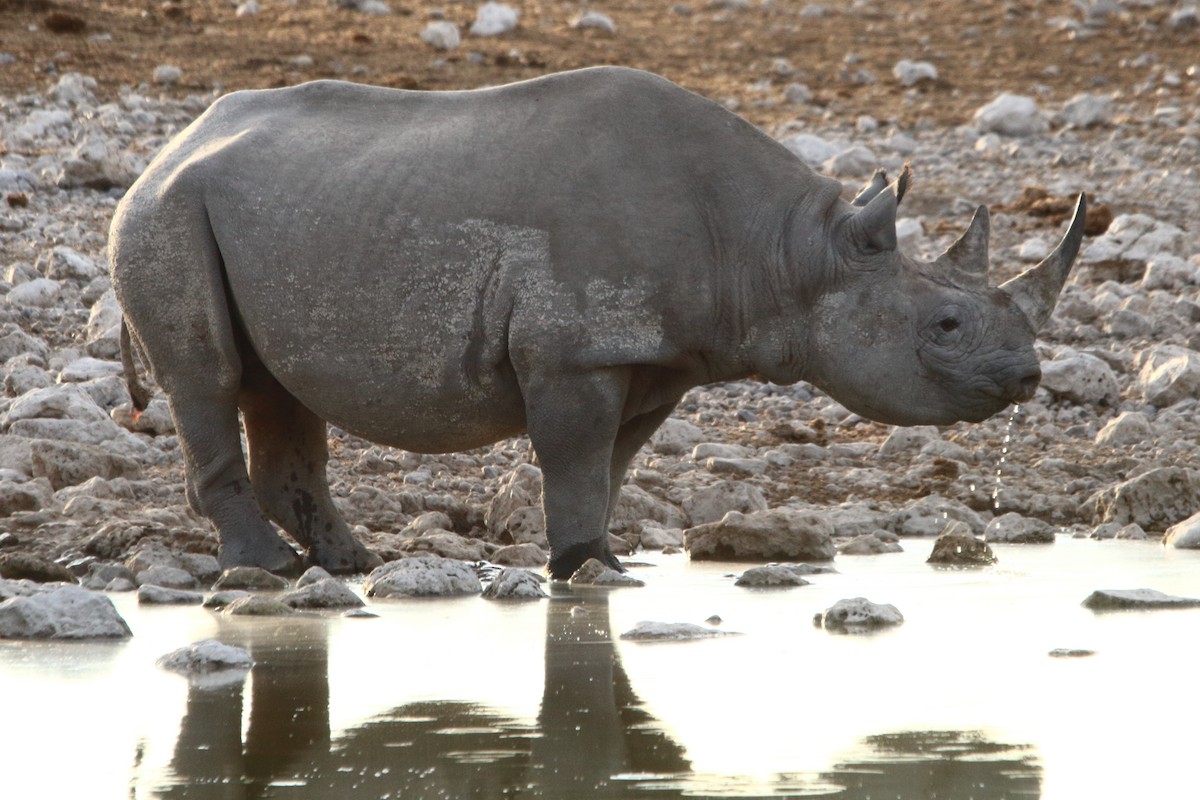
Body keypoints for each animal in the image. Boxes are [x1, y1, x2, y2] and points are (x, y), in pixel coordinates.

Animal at [109, 67, 1085, 578]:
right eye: (947, 325)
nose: (1029, 377)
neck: (790, 255)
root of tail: (163, 150)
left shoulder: (660, 359)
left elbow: (613, 465)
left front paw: (603, 563)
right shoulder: (574, 353)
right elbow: (576, 458)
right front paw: (585, 569)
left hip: (248, 211)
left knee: (275, 389)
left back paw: (351, 566)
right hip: (163, 214)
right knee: (206, 378)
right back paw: (270, 570)